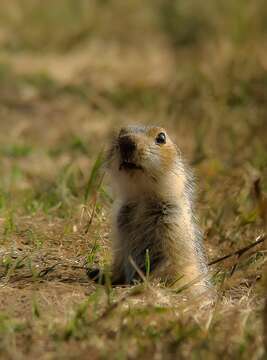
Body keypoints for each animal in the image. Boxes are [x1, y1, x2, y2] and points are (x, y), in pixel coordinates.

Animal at [89, 124, 210, 292]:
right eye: (120, 133)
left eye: (161, 137)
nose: (126, 141)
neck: (143, 197)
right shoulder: (121, 223)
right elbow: (120, 258)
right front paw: (102, 275)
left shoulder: (173, 223)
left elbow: (170, 263)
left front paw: (145, 285)